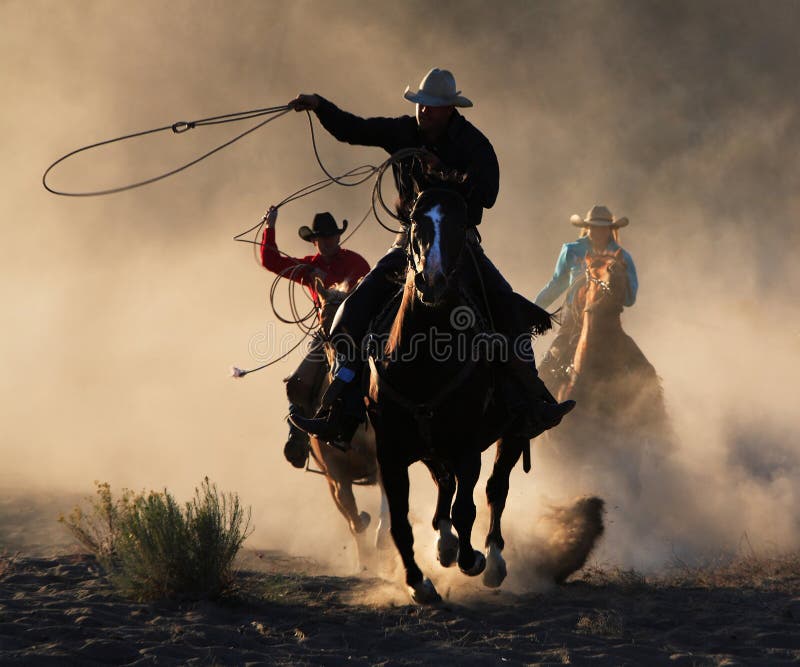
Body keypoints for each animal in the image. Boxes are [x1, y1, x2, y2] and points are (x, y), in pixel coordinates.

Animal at [368, 189, 536, 604]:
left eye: (461, 225)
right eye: (416, 223)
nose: (433, 281)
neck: (425, 361)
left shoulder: (467, 447)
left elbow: (467, 507)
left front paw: (472, 559)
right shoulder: (390, 452)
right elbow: (399, 521)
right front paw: (418, 582)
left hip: (512, 435)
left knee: (495, 489)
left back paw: (493, 561)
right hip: (431, 449)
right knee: (444, 486)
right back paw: (444, 546)